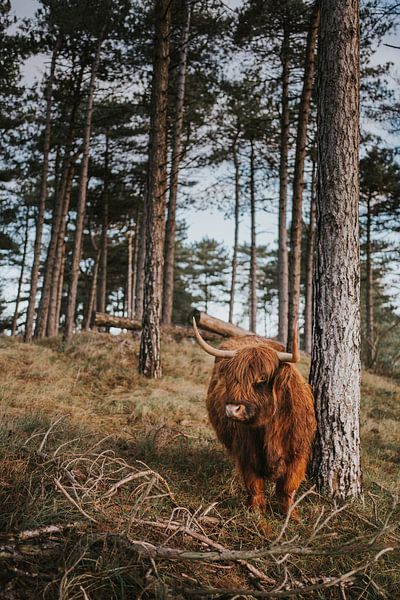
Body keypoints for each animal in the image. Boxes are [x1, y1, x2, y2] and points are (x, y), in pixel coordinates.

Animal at [192, 318, 318, 520]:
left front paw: (292, 516)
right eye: (233, 378)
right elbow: (254, 485)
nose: (232, 409)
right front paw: (256, 513)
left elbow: (287, 487)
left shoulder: (298, 452)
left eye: (262, 379)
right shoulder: (246, 452)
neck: (271, 426)